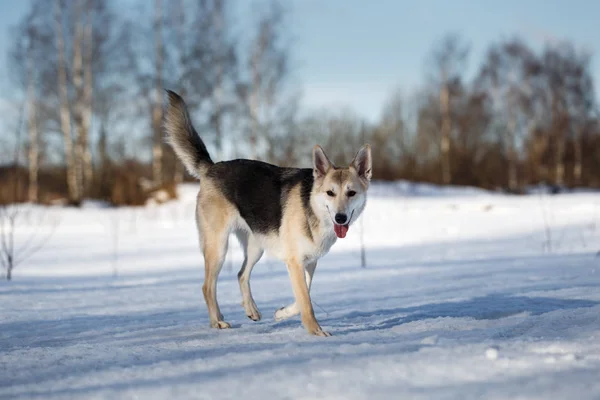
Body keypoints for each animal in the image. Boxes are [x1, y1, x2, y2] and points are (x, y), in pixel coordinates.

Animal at [163, 90, 370, 338]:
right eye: (330, 193)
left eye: (351, 193)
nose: (340, 218)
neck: (313, 209)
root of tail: (212, 167)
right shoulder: (295, 262)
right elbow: (306, 301)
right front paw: (316, 332)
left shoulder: (308, 263)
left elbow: (304, 296)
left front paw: (282, 313)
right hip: (218, 247)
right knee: (207, 286)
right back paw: (217, 321)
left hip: (256, 247)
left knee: (241, 274)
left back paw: (249, 310)